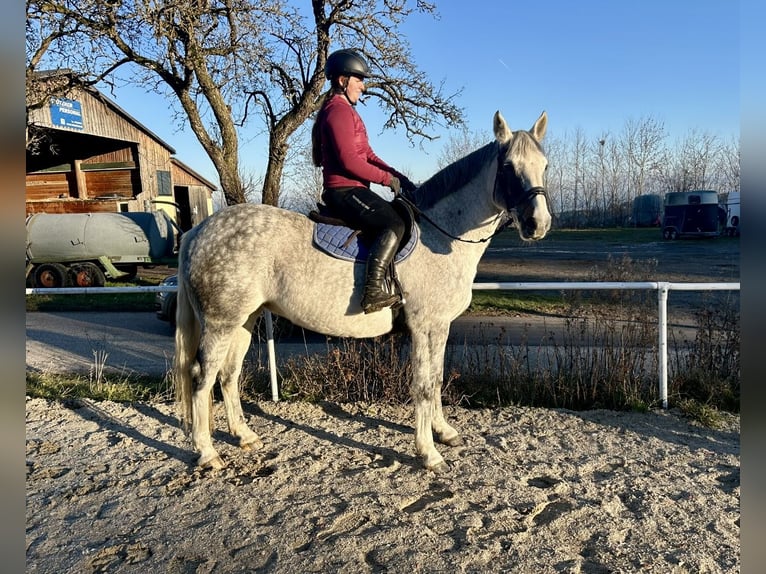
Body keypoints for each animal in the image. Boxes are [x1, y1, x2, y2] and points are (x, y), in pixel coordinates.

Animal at [176, 110, 552, 474]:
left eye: (544, 165)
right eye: (508, 167)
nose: (539, 224)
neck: (440, 235)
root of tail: (198, 231)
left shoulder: (440, 326)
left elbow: (436, 379)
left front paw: (444, 432)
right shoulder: (424, 326)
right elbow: (423, 385)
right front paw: (429, 453)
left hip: (245, 319)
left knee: (228, 374)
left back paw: (244, 436)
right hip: (220, 323)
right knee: (202, 378)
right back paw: (207, 453)